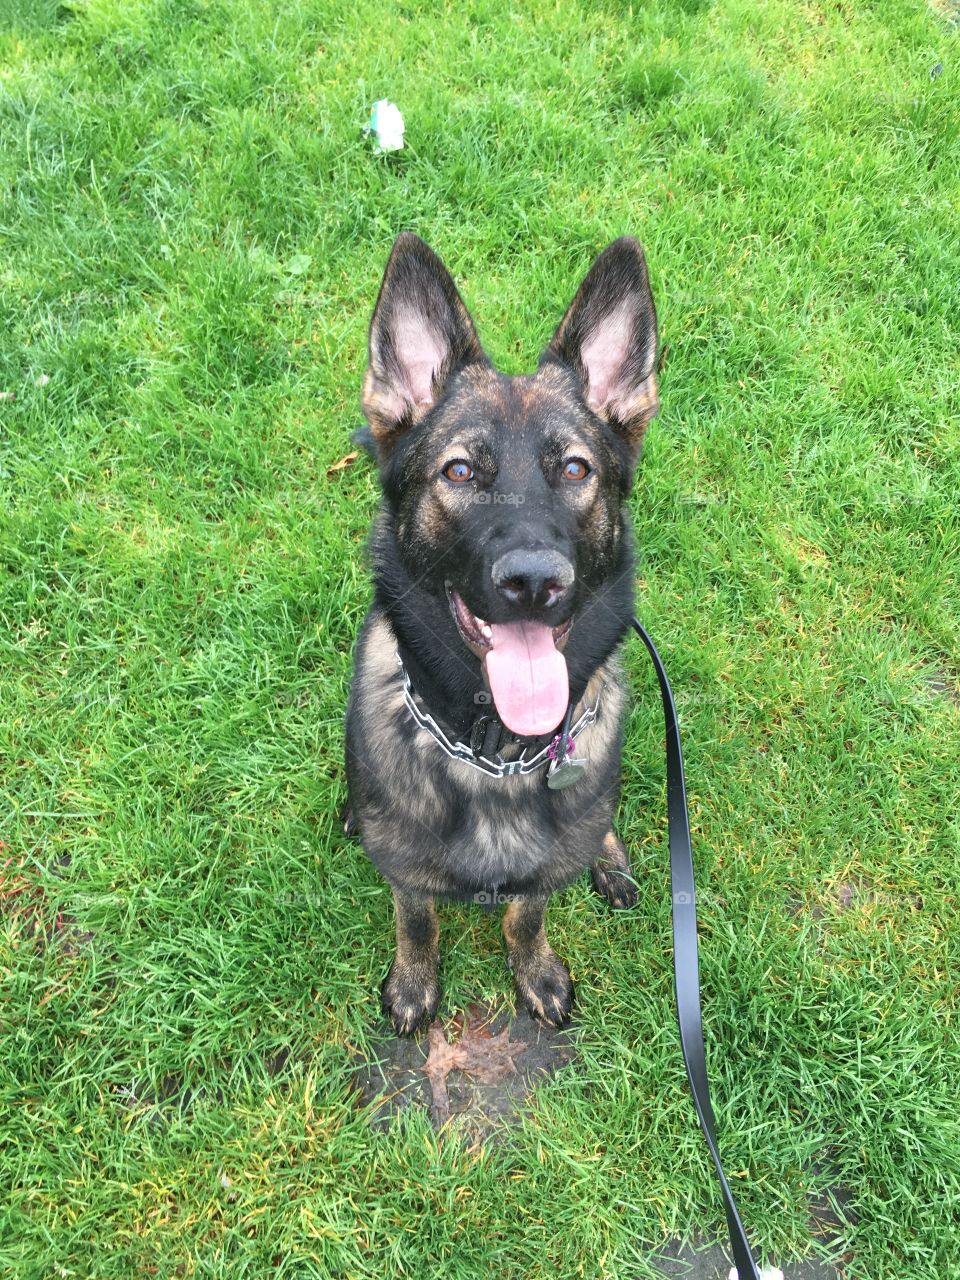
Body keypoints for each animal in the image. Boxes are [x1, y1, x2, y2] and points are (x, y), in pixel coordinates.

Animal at [345, 235, 660, 1034]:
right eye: (459, 471)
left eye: (575, 468)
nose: (535, 581)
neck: (494, 755)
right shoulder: (404, 873)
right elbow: (416, 920)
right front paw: (414, 984)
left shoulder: (542, 876)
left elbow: (527, 913)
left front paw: (536, 971)